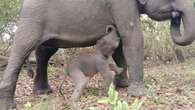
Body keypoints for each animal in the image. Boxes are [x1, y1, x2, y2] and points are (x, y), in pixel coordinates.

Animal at [0, 0, 194, 108]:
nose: (176, 16)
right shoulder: (121, 4)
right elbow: (132, 36)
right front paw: (138, 94)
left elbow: (121, 44)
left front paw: (122, 85)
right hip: (33, 18)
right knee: (23, 48)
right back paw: (9, 104)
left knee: (44, 50)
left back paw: (43, 92)